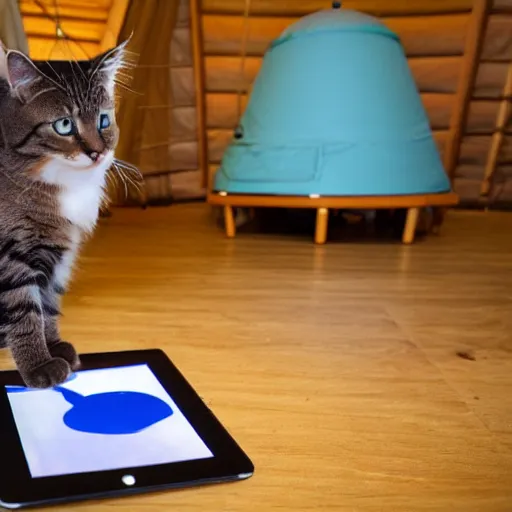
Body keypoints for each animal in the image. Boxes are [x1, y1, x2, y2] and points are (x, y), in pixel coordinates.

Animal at [0, 41, 127, 388]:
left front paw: (54, 345)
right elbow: (24, 310)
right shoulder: (10, 257)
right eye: (64, 125)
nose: (97, 152)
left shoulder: (61, 251)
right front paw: (38, 364)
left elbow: (48, 303)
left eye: (103, 121)